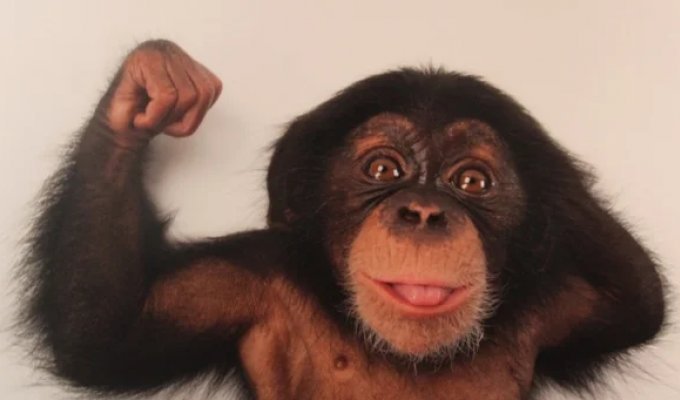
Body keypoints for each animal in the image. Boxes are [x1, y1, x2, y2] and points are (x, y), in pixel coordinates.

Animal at [18, 39, 665, 399]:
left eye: (471, 183)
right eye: (382, 169)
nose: (424, 211)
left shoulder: (556, 307)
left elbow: (637, 303)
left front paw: (548, 163)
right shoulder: (243, 281)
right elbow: (105, 331)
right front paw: (147, 86)